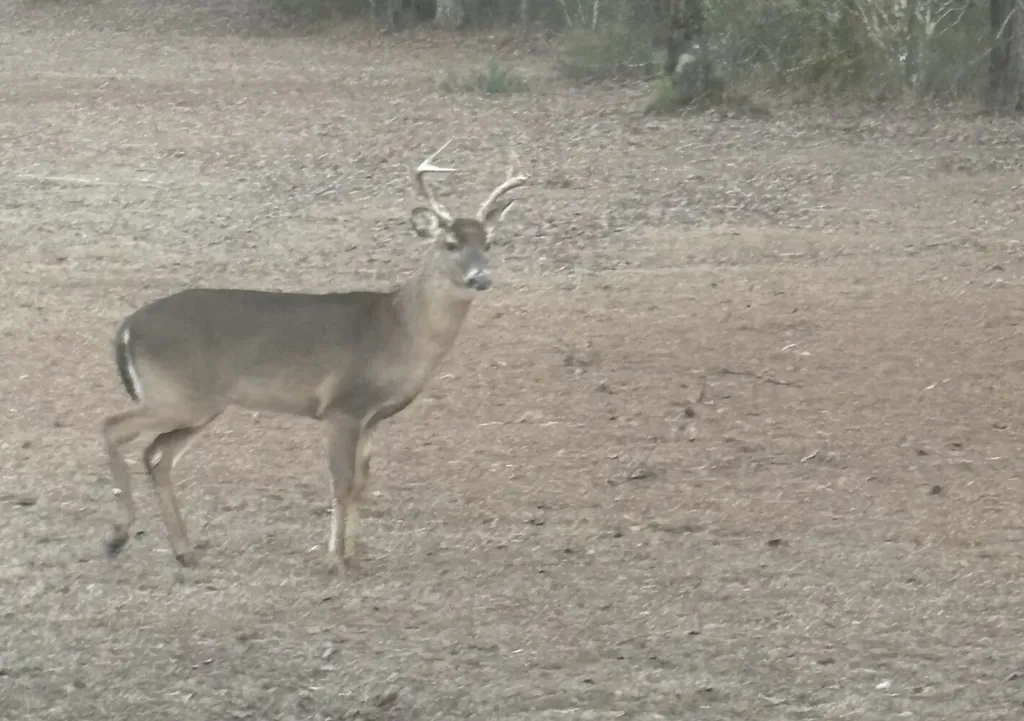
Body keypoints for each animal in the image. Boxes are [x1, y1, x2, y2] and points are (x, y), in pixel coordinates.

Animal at [100, 141, 529, 571]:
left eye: (488, 243)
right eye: (450, 243)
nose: (480, 278)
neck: (399, 329)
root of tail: (128, 326)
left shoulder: (373, 418)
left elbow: (362, 483)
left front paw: (355, 555)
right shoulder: (342, 407)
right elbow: (341, 482)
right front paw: (334, 558)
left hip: (198, 406)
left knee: (156, 455)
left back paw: (183, 551)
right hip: (178, 395)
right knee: (113, 426)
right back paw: (117, 536)